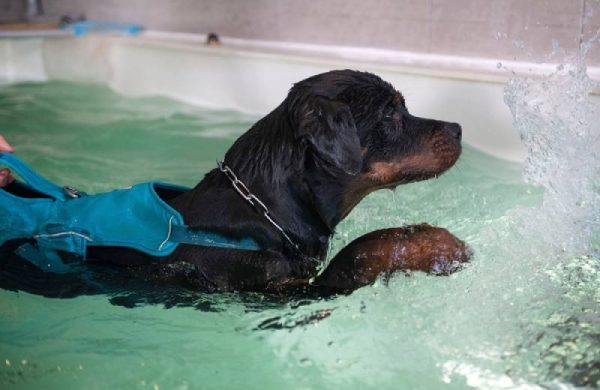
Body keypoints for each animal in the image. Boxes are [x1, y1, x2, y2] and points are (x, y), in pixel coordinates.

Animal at [84, 70, 466, 294]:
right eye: (390, 113)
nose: (458, 129)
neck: (265, 211)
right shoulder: (275, 290)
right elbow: (355, 253)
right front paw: (432, 244)